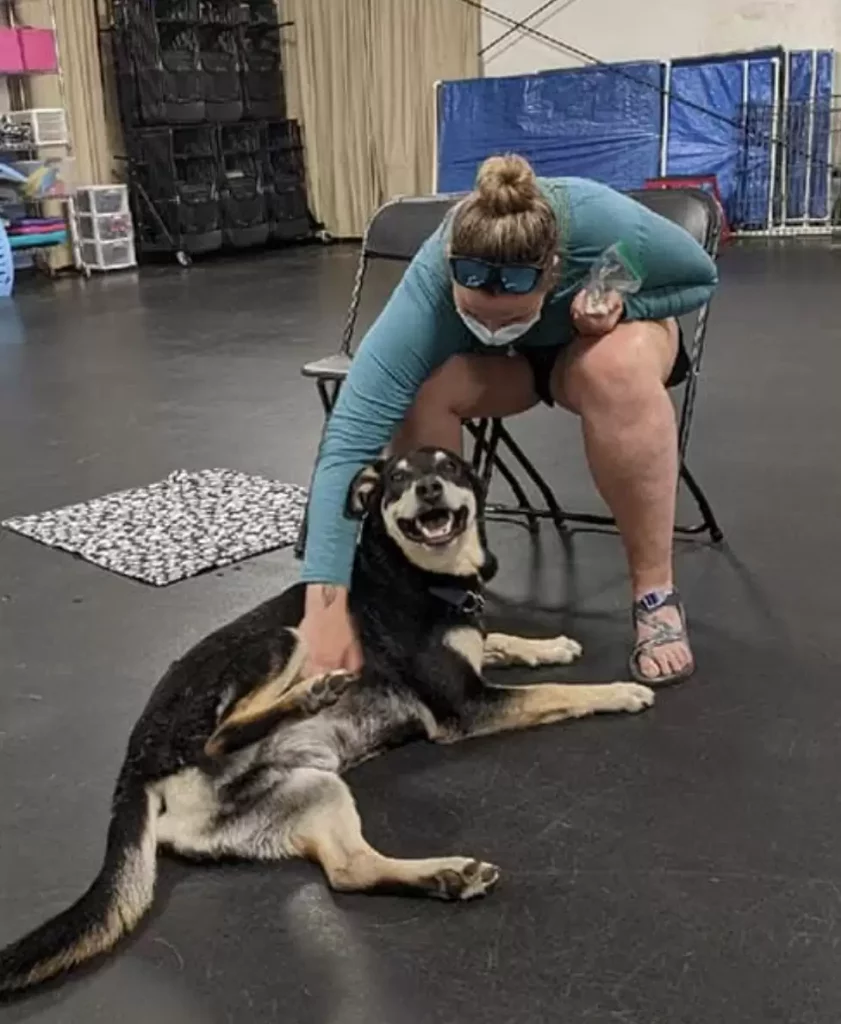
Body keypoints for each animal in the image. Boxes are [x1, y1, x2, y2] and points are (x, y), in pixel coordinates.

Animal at [0, 446, 655, 991]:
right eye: (398, 479)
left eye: (448, 467)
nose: (429, 490)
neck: (417, 575)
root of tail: (135, 767)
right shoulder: (467, 706)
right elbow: (553, 693)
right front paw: (620, 690)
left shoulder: (470, 666)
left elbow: (500, 640)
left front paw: (552, 644)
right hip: (281, 642)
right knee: (221, 734)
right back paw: (310, 696)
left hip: (311, 789)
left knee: (347, 871)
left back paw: (446, 877)